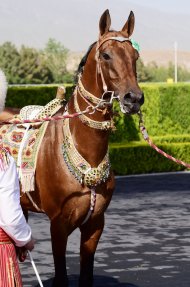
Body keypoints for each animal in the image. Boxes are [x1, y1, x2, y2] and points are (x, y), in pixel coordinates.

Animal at [0, 9, 144, 287]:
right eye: (106, 55)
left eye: (135, 56)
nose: (134, 98)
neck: (86, 155)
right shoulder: (58, 225)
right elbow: (61, 276)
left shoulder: (95, 224)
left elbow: (86, 275)